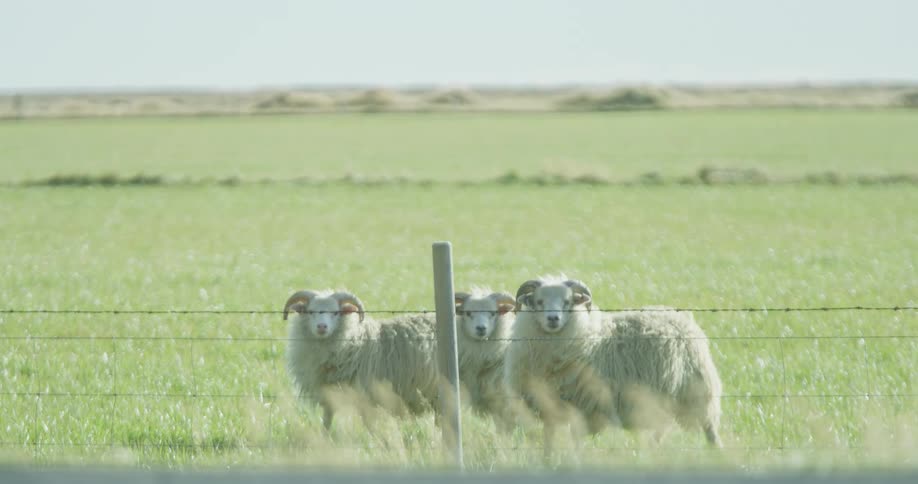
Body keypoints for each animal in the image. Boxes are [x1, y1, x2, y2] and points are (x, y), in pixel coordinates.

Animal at [283, 289, 439, 430]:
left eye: (336, 312)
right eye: (310, 312)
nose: (322, 327)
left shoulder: (365, 395)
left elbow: (369, 426)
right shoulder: (330, 394)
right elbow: (327, 421)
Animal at [504, 276, 723, 448]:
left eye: (567, 301)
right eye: (539, 301)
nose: (553, 319)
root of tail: (681, 317)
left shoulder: (584, 407)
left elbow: (576, 443)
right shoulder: (549, 407)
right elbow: (548, 441)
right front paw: (548, 462)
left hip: (697, 391)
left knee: (709, 428)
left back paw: (717, 452)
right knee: (660, 431)